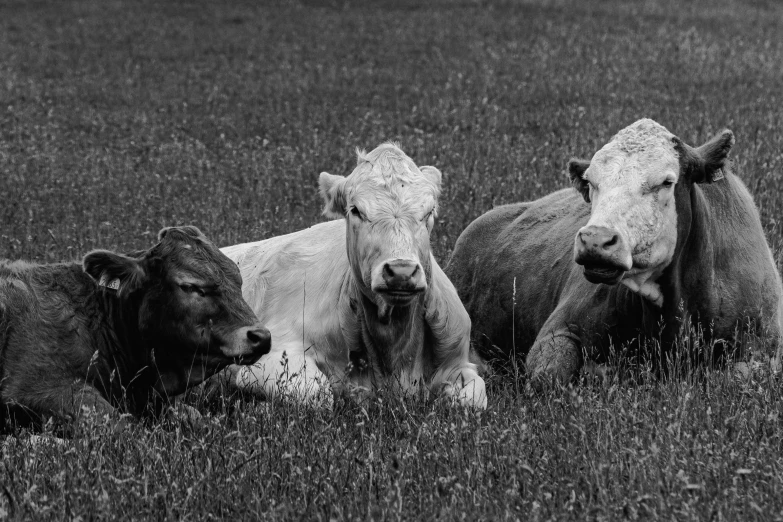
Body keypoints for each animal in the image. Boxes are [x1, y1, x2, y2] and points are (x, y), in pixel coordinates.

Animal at [217, 142, 486, 406]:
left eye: (429, 211)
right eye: (356, 210)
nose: (401, 271)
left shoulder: (459, 361)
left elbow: (473, 399)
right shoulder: (269, 356)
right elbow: (317, 395)